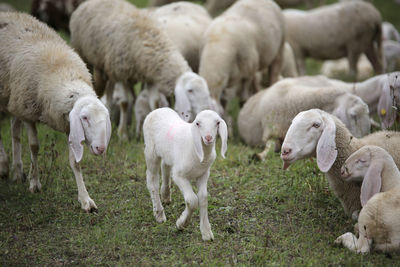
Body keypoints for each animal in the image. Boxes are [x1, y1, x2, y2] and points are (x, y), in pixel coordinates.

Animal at [0, 12, 111, 214]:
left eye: (105, 118)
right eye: (84, 118)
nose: (100, 148)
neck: (63, 71)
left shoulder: (67, 124)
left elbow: (75, 162)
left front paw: (85, 200)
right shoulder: (28, 111)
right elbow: (34, 146)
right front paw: (35, 183)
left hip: (12, 97)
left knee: (14, 130)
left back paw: (17, 170)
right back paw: (4, 166)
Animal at [69, 0, 212, 140]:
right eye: (190, 90)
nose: (204, 110)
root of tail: (87, 3)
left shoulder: (151, 78)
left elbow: (154, 103)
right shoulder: (121, 73)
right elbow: (125, 103)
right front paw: (123, 134)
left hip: (107, 67)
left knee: (109, 91)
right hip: (86, 57)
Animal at [142, 108, 227, 242]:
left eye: (217, 122)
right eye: (198, 123)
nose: (208, 138)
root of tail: (158, 110)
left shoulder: (203, 174)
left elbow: (203, 198)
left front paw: (206, 232)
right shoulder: (179, 176)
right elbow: (192, 200)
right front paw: (181, 223)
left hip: (167, 154)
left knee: (165, 166)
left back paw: (165, 195)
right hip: (151, 152)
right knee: (152, 180)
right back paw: (159, 213)